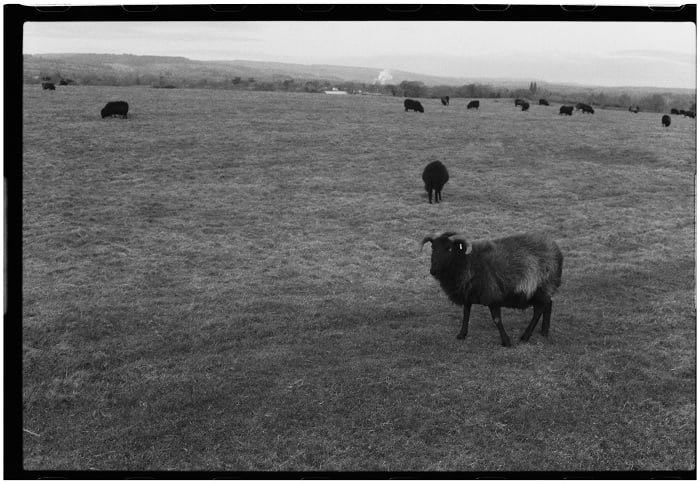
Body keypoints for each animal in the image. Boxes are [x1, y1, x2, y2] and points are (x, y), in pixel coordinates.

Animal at [420, 231, 563, 347]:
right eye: (433, 247)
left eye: (449, 248)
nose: (433, 271)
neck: (469, 262)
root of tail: (556, 249)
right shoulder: (468, 294)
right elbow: (466, 315)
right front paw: (461, 335)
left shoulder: (492, 294)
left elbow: (496, 319)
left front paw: (506, 342)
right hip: (544, 289)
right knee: (548, 304)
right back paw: (544, 331)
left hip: (542, 286)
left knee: (539, 309)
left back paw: (525, 336)